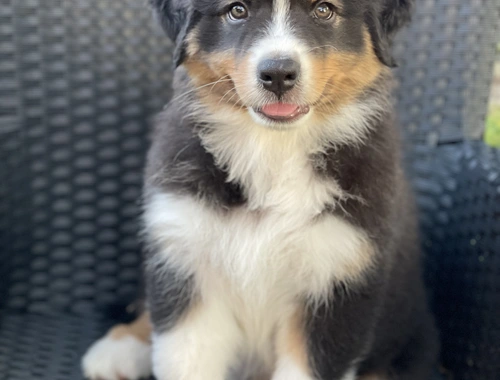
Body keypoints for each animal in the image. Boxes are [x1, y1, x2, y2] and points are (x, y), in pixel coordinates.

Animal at [81, 0, 438, 380]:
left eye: (324, 10)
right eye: (237, 10)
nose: (278, 74)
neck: (273, 149)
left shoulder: (337, 282)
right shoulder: (188, 257)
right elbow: (185, 359)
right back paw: (119, 347)